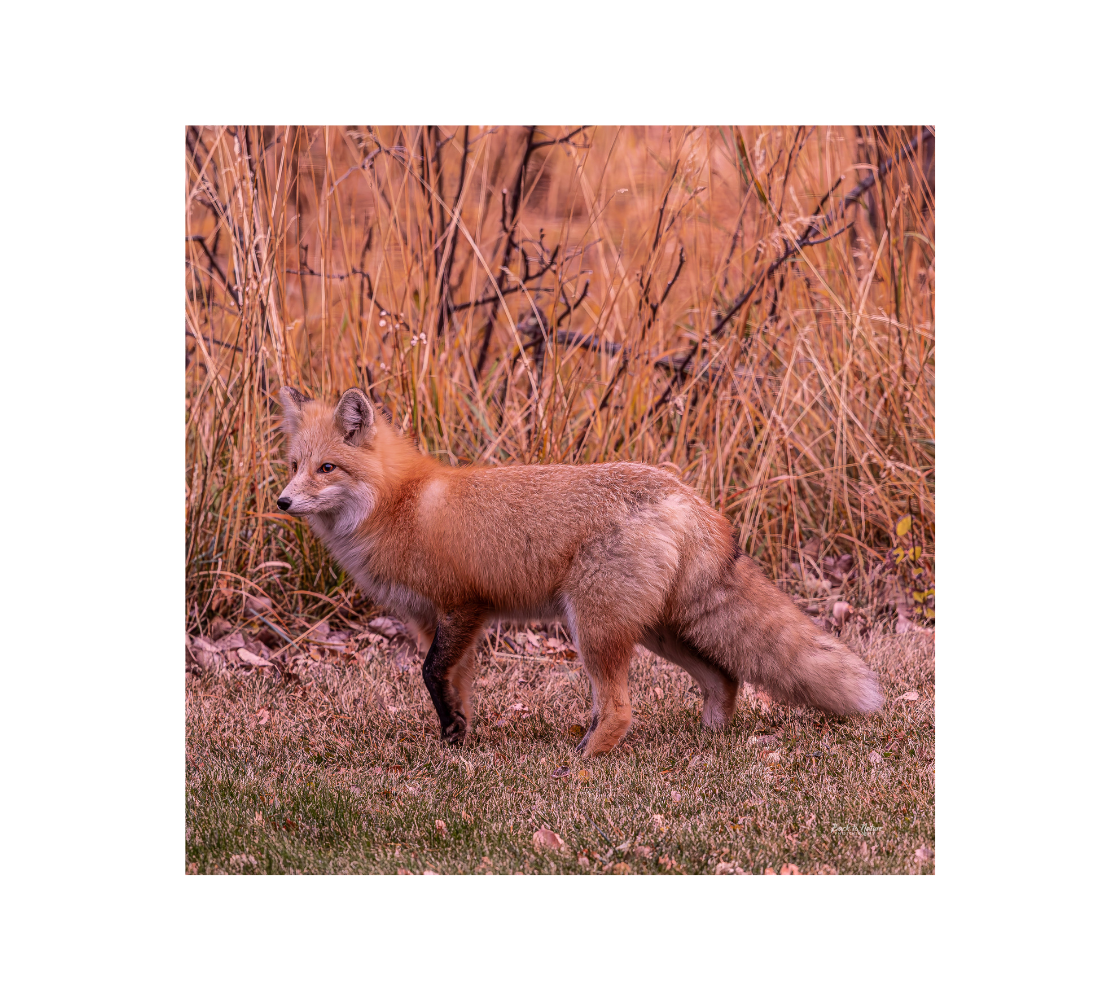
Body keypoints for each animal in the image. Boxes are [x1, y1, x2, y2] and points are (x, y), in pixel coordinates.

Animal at [276, 386, 881, 756]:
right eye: (295, 465)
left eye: (327, 468)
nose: (282, 501)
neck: (397, 504)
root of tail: (686, 495)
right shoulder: (433, 621)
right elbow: (453, 687)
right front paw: (456, 743)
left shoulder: (463, 607)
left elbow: (431, 675)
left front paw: (455, 742)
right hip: (657, 629)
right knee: (724, 678)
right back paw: (707, 737)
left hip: (593, 627)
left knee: (620, 710)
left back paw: (581, 763)